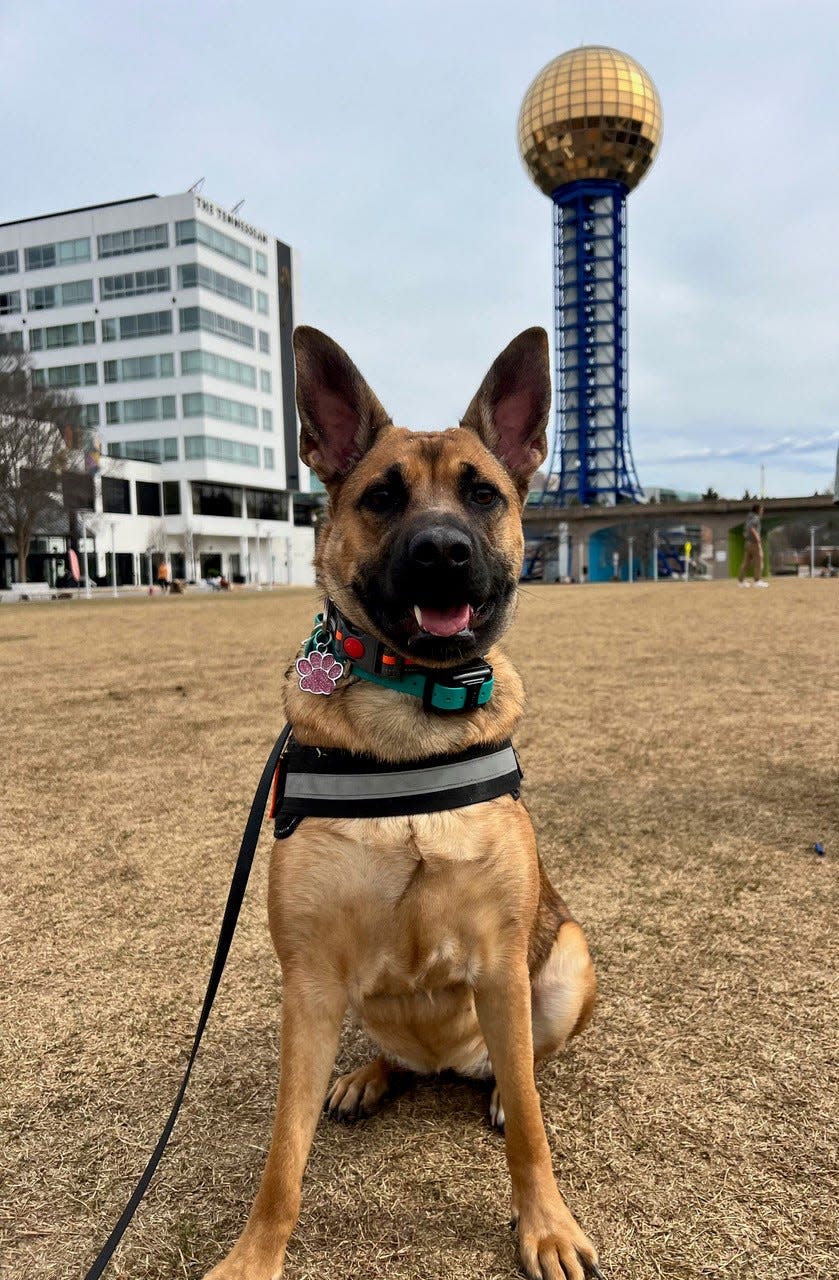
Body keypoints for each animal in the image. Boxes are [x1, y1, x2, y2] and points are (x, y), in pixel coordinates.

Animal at [206, 327, 599, 1280]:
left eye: (482, 494)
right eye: (382, 497)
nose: (443, 551)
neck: (413, 721)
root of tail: (445, 1060)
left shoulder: (500, 964)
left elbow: (533, 1132)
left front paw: (544, 1225)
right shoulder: (309, 981)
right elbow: (282, 1156)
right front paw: (255, 1254)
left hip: (564, 961)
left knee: (519, 1071)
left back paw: (490, 1088)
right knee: (395, 1060)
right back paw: (367, 1077)